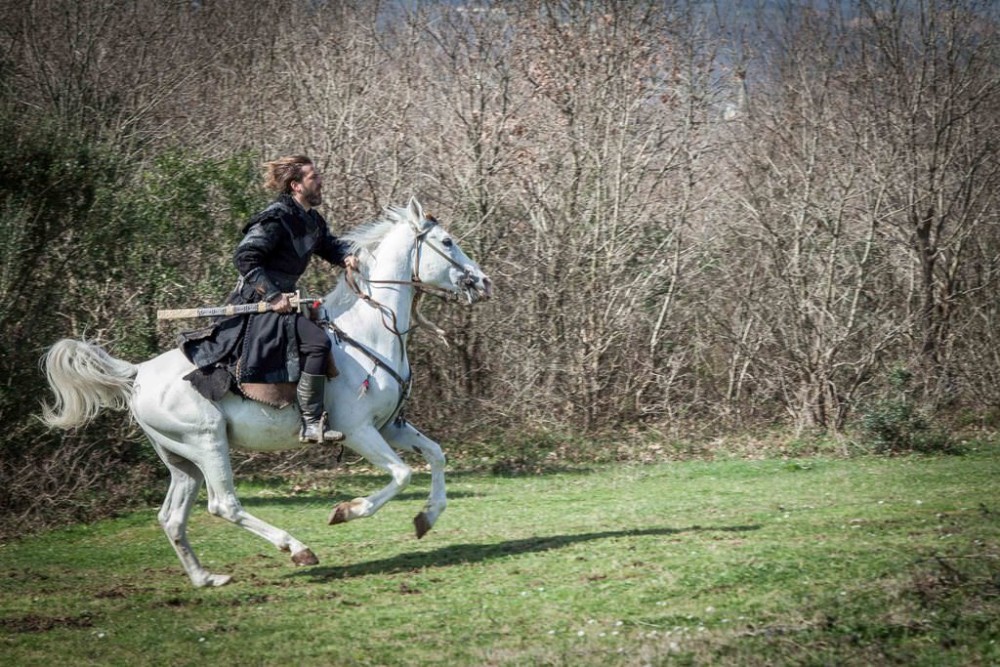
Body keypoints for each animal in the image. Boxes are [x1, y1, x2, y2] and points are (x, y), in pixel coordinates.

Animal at [44, 200, 492, 588]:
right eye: (447, 242)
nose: (483, 282)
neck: (370, 330)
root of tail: (139, 373)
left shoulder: (390, 427)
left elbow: (436, 455)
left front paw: (427, 517)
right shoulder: (360, 431)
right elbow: (402, 474)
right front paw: (346, 511)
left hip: (182, 460)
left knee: (171, 517)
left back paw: (206, 578)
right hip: (207, 442)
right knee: (224, 504)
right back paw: (297, 549)